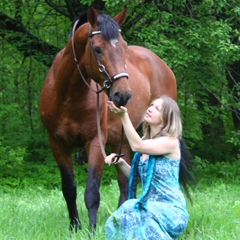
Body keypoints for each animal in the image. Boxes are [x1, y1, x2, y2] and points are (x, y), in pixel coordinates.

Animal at [39, 5, 176, 231]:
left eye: (124, 47)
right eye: (97, 49)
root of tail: (161, 63)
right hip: (124, 139)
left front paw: (91, 231)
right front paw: (75, 226)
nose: (123, 94)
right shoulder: (57, 143)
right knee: (124, 181)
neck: (67, 96)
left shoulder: (95, 142)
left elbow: (92, 192)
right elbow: (69, 188)